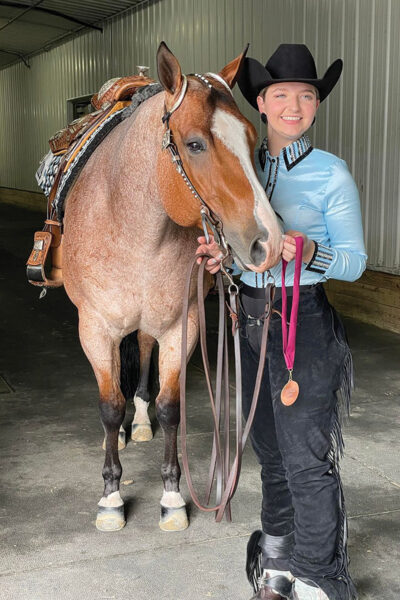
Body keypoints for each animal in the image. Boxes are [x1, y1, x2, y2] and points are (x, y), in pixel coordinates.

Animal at [62, 41, 282, 528]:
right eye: (195, 144)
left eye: (252, 140)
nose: (269, 242)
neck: (132, 227)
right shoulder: (96, 328)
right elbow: (110, 406)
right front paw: (111, 496)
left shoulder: (181, 326)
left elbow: (170, 407)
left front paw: (172, 496)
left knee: (143, 351)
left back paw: (140, 421)